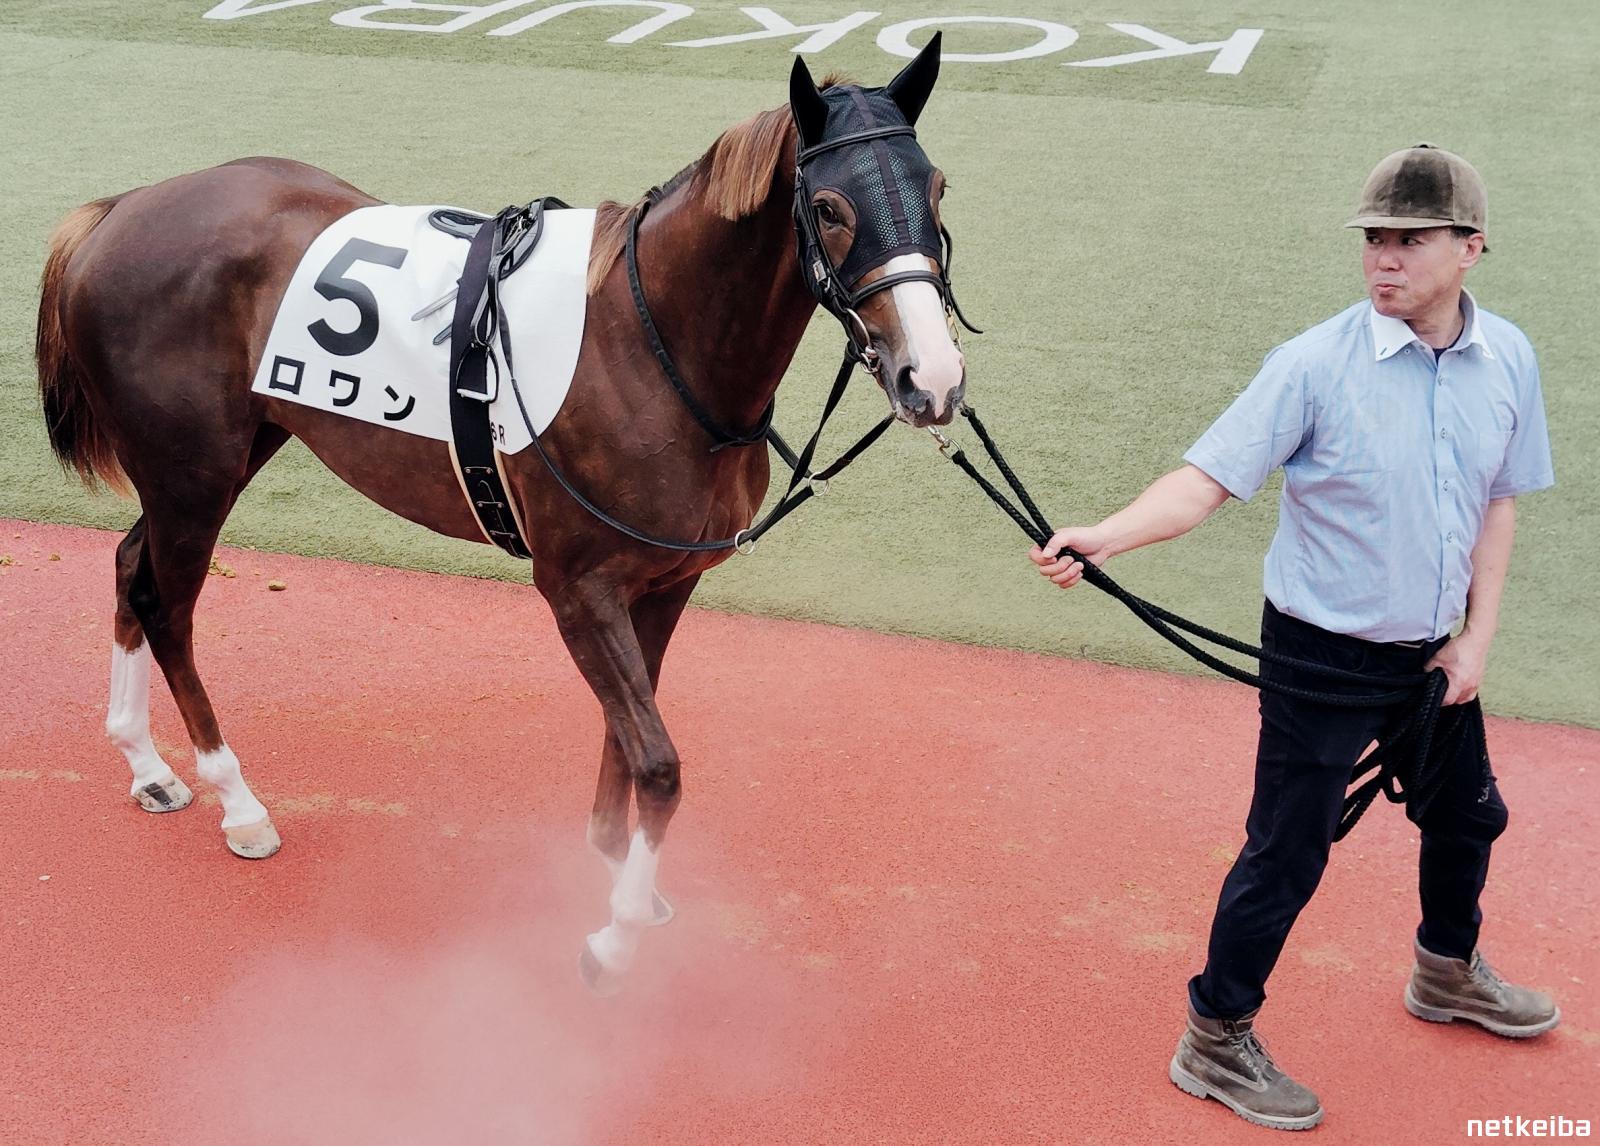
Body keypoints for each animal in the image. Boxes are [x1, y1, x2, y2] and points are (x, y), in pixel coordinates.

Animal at [34, 40, 967, 992]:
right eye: (830, 207)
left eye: (937, 190)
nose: (930, 378)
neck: (652, 345)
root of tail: (117, 211)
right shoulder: (578, 588)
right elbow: (658, 763)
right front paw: (614, 936)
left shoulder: (666, 581)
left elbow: (628, 738)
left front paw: (613, 869)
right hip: (192, 472)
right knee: (169, 609)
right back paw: (239, 804)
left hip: (222, 454)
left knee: (129, 566)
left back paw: (145, 763)